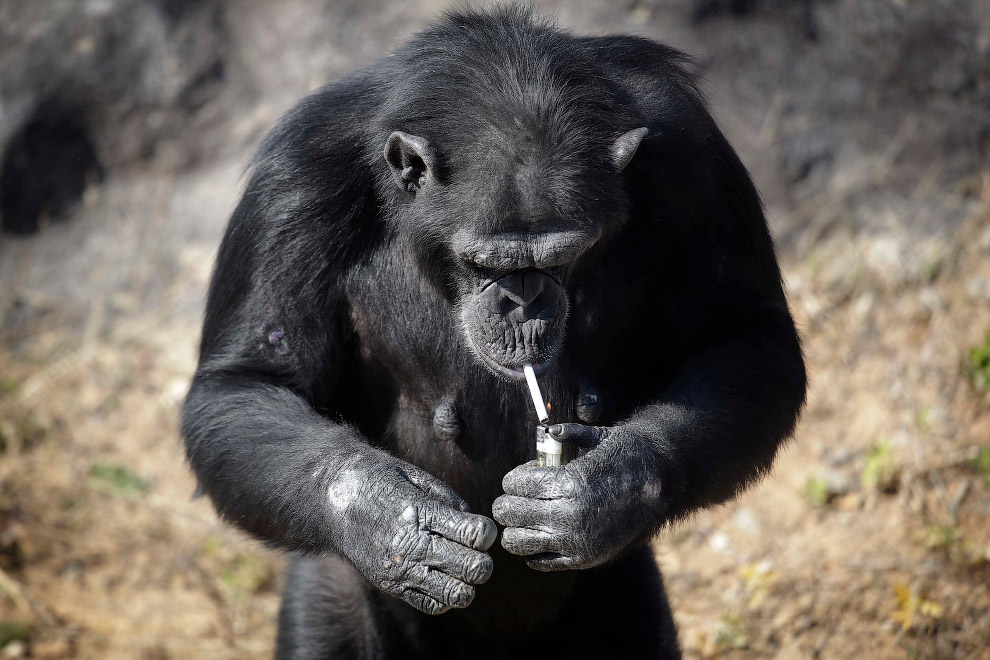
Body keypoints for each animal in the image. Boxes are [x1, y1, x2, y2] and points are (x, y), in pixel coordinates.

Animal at [182, 6, 808, 660]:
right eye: (483, 263)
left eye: (563, 257)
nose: (522, 302)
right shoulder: (294, 183)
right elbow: (247, 379)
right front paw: (391, 520)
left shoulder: (695, 158)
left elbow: (744, 336)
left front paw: (600, 491)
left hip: (623, 594)